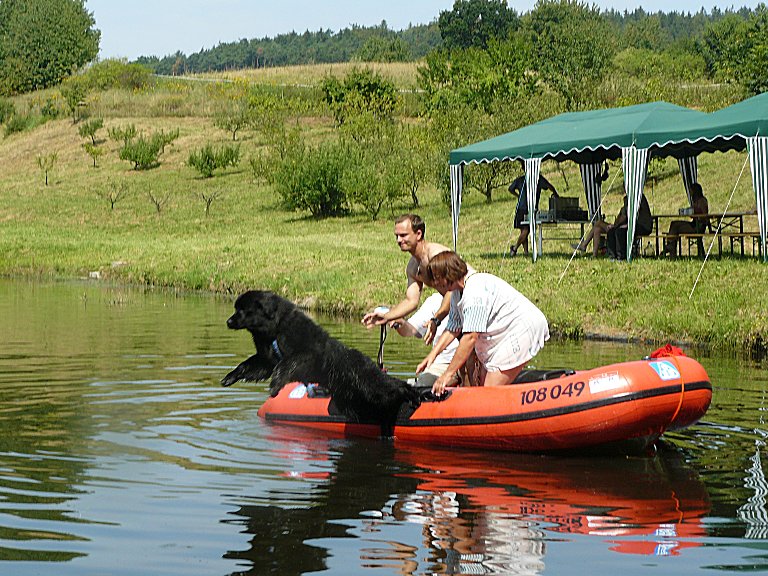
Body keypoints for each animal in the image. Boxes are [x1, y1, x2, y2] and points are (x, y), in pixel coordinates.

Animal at [219, 290, 424, 434]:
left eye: (243, 310)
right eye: (236, 309)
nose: (228, 321)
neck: (275, 330)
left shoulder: (306, 354)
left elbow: (286, 365)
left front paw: (275, 386)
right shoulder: (266, 358)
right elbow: (249, 365)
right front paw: (229, 377)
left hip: (369, 385)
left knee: (392, 386)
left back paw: (413, 394)